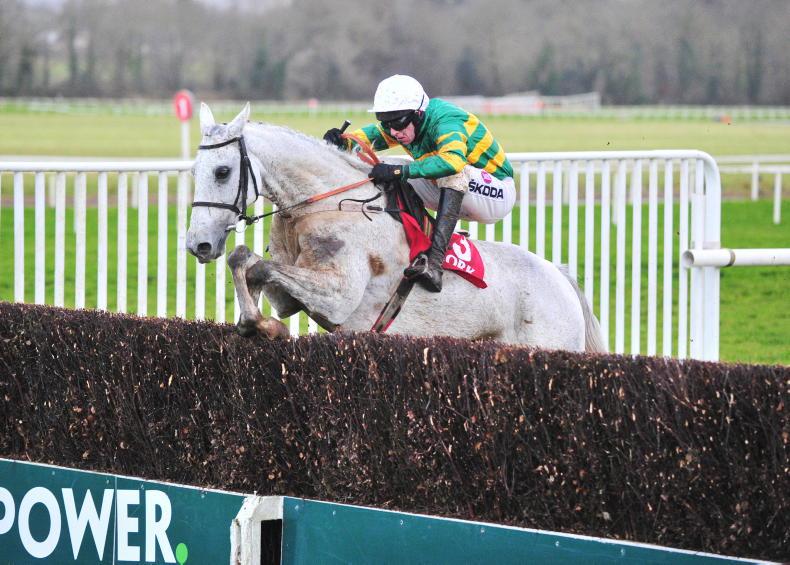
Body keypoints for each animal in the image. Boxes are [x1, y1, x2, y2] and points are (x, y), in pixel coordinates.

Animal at [186, 103, 605, 352]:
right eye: (194, 171)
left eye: (222, 171)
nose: (198, 244)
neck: (320, 205)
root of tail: (560, 277)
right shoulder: (291, 297)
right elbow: (246, 260)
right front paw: (256, 323)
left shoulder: (337, 297)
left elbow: (259, 266)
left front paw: (262, 325)